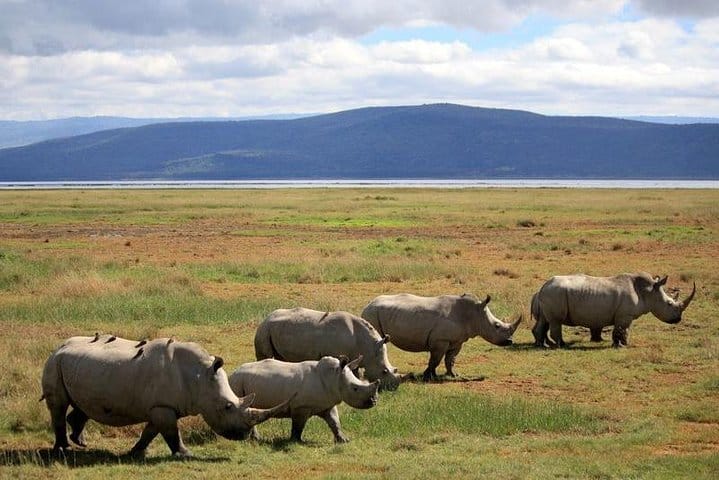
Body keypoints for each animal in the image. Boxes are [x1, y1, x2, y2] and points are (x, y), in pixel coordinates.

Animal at [41, 334, 291, 457]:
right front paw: (185, 454)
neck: (200, 377)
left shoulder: (161, 407)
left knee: (81, 405)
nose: (245, 435)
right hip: (54, 362)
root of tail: (58, 347)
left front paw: (136, 452)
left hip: (77, 366)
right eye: (228, 407)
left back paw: (80, 442)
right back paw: (64, 450)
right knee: (58, 406)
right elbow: (171, 432)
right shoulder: (163, 407)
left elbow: (150, 431)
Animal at [228, 356, 379, 443]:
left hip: (243, 381)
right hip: (237, 383)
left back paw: (256, 439)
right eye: (355, 388)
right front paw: (296, 441)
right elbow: (298, 425)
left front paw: (344, 440)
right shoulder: (301, 407)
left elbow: (335, 422)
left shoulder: (328, 403)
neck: (334, 377)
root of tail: (233, 373)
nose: (374, 401)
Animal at [254, 308, 401, 390]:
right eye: (384, 371)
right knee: (265, 357)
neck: (368, 347)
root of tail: (267, 317)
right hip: (265, 330)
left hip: (278, 329)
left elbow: (356, 373)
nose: (393, 388)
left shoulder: (356, 356)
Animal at [361, 293, 522, 381]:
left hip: (376, 313)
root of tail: (368, 304)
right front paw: (428, 376)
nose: (510, 341)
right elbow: (435, 359)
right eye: (497, 326)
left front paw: (453, 375)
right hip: (372, 314)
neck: (473, 314)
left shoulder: (457, 341)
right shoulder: (440, 340)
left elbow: (450, 359)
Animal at [530, 273, 696, 348]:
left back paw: (542, 345)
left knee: (544, 321)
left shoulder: (623, 315)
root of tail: (542, 287)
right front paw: (622, 346)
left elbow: (621, 330)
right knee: (555, 321)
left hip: (550, 294)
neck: (648, 292)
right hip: (555, 293)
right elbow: (623, 329)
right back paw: (561, 345)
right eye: (669, 304)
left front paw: (620, 344)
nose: (678, 320)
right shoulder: (625, 315)